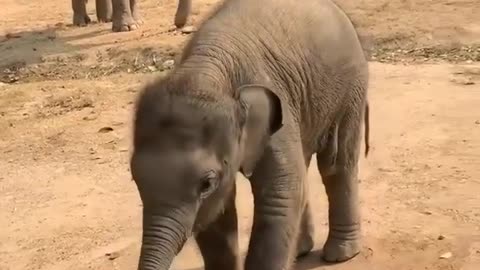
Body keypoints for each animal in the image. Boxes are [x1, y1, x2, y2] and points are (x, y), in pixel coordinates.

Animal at [129, 0, 370, 268]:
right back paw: (300, 251)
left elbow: (280, 196)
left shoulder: (277, 112)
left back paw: (340, 254)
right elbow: (217, 216)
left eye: (206, 183)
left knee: (335, 164)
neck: (205, 70)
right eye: (135, 177)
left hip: (350, 89)